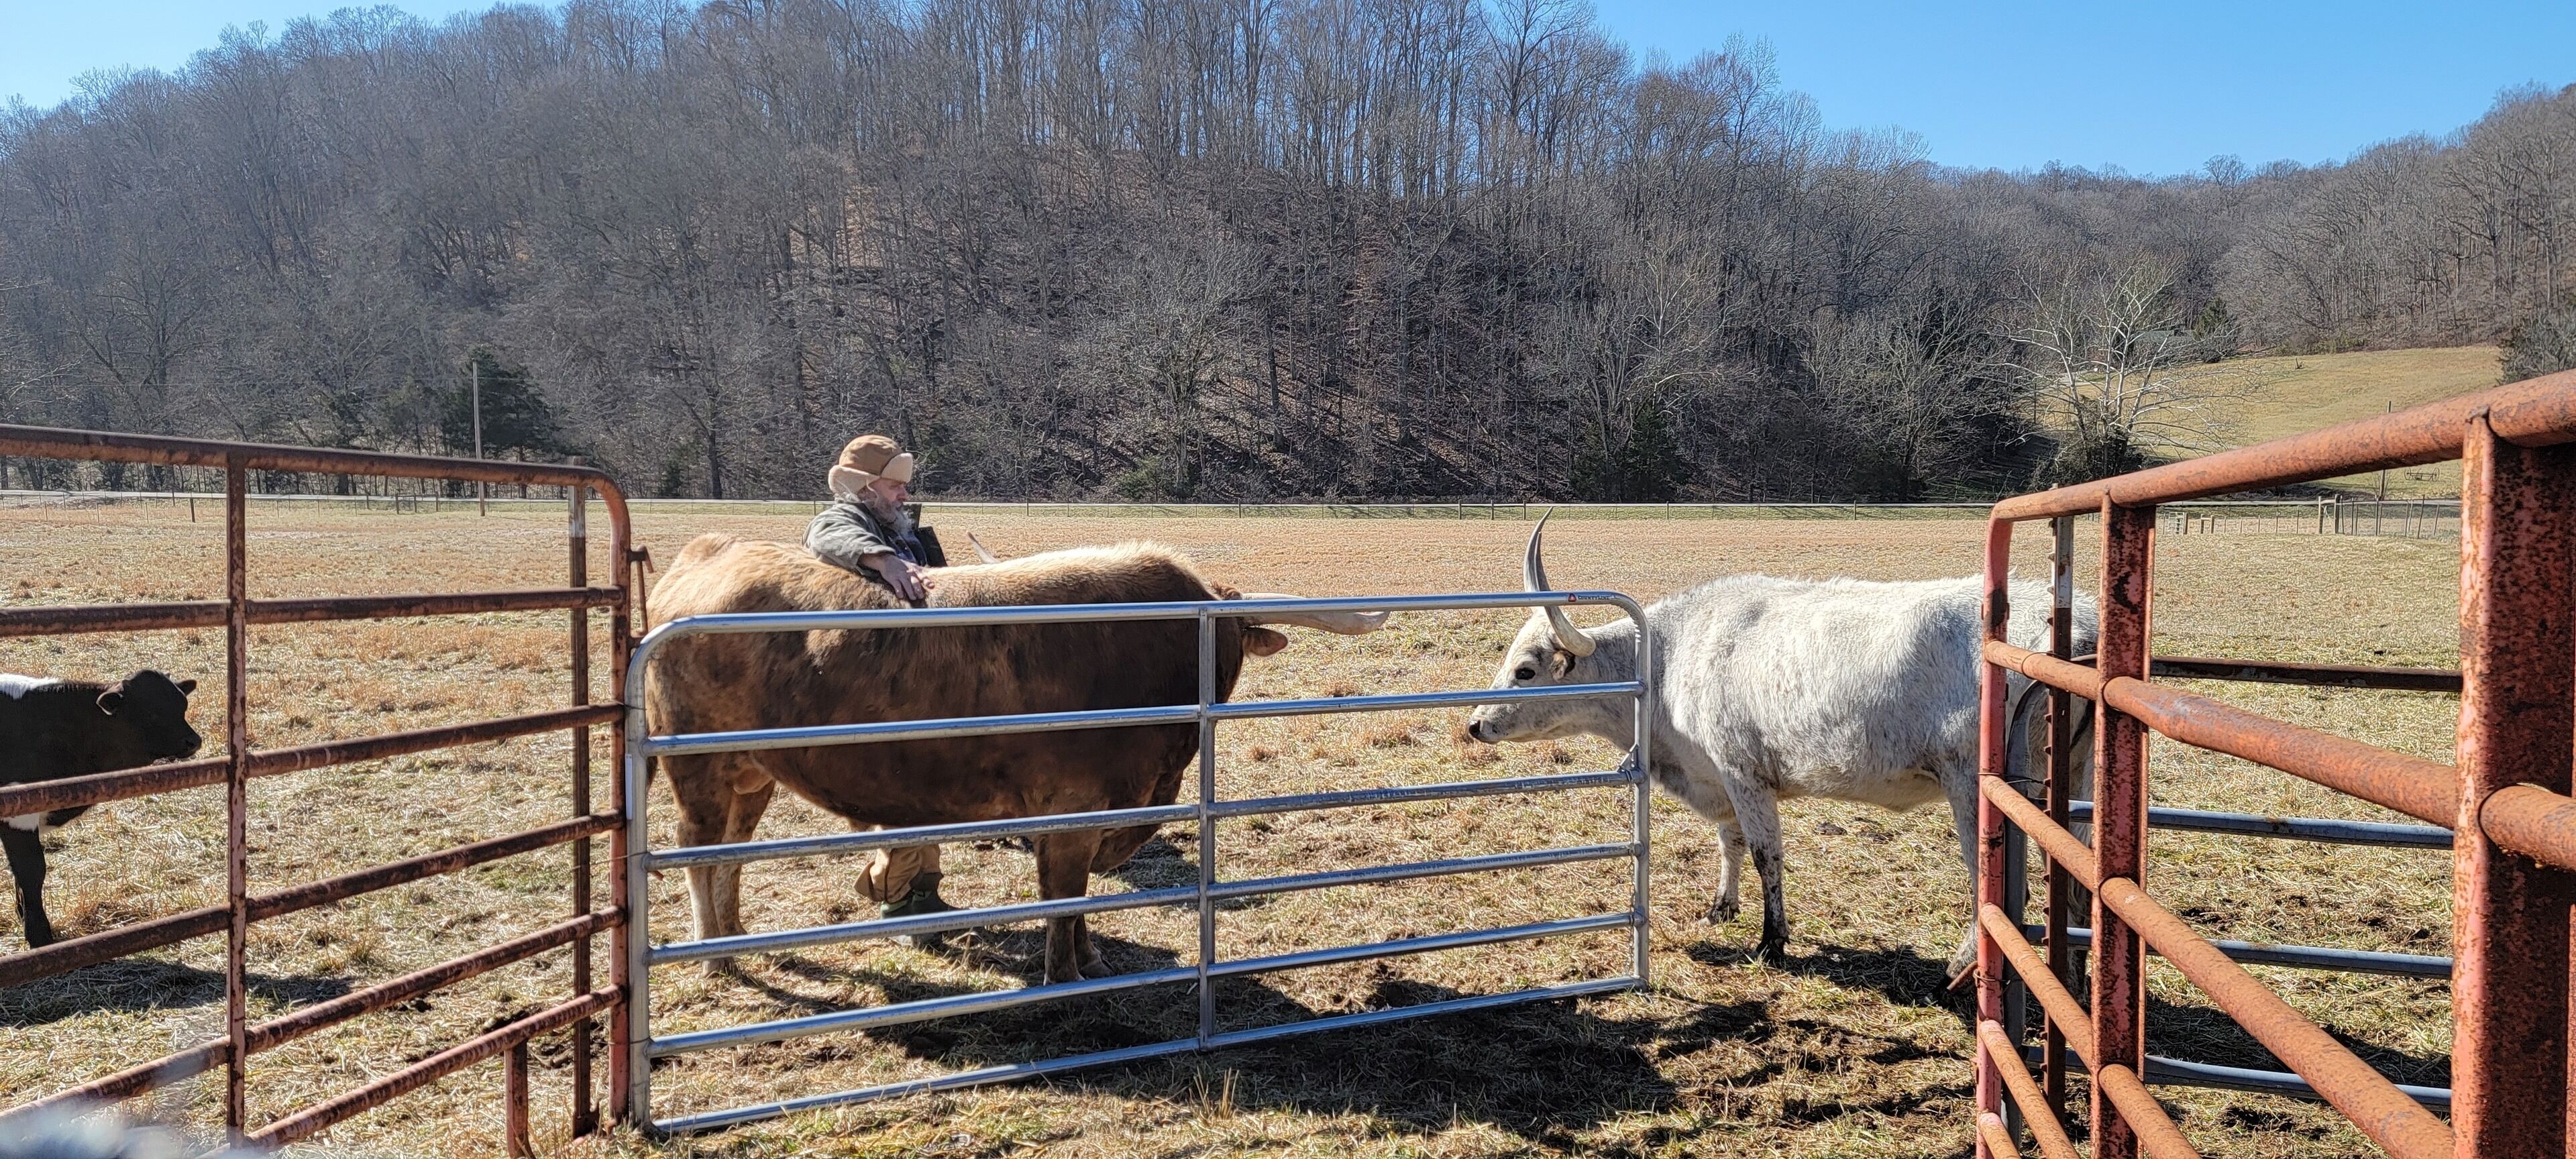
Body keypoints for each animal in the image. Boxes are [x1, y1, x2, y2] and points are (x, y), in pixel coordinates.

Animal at [3, 670, 204, 948]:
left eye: (182, 706)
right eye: (152, 712)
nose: (194, 741)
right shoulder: (19, 815)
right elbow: (31, 872)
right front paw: (40, 937)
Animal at [644, 535, 1388, 983]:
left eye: (1229, 640)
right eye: (1208, 640)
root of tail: (709, 553)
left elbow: (1075, 899)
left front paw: (1090, 958)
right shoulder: (1073, 810)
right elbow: (1063, 894)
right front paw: (1066, 974)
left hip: (750, 774)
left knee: (732, 852)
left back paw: (735, 933)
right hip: (697, 772)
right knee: (697, 852)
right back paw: (715, 957)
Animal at [1463, 517, 2096, 976]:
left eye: (1524, 670)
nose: (1474, 725)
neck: (1668, 661)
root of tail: (2076, 622)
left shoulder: (1743, 774)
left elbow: (1767, 852)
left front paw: (1772, 941)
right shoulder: (1719, 779)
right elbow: (1731, 842)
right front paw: (1722, 908)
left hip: (1974, 788)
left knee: (1993, 883)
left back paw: (1962, 968)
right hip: (2076, 787)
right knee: (2076, 887)